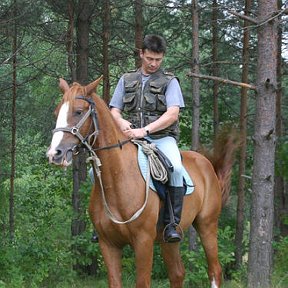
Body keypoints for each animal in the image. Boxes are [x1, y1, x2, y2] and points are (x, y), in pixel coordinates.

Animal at [47, 77, 236, 288]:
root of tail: (206, 164)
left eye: (78, 111)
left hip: (207, 225)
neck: (118, 179)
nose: (55, 154)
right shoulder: (108, 244)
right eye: (57, 112)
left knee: (214, 270)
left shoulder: (143, 242)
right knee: (177, 274)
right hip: (168, 240)